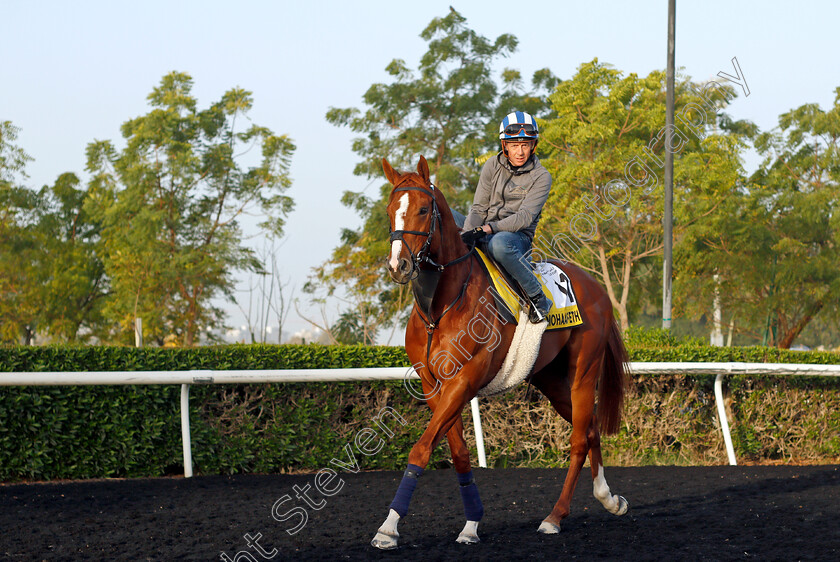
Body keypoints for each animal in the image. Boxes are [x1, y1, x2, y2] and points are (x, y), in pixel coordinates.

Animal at [374, 154, 632, 548]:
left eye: (422, 209)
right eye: (391, 210)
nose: (398, 266)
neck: (440, 308)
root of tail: (596, 287)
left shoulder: (465, 378)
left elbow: (421, 448)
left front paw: (388, 528)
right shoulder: (433, 384)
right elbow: (459, 453)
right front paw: (471, 524)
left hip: (584, 372)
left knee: (578, 439)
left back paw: (555, 517)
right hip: (548, 378)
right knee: (588, 430)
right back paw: (608, 498)